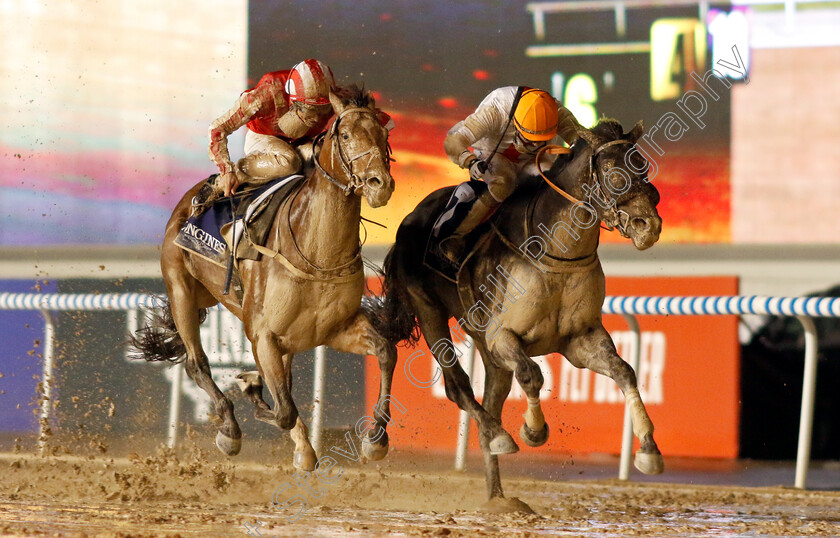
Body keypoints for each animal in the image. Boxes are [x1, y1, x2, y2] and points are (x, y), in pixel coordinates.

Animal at [134, 84, 400, 468]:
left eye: (384, 135)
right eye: (347, 135)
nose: (380, 184)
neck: (317, 254)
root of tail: (189, 198)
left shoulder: (335, 328)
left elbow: (385, 351)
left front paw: (376, 438)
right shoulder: (262, 333)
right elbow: (283, 408)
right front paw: (250, 390)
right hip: (181, 288)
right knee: (196, 364)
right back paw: (230, 428)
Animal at [370, 119, 668, 508]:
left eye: (643, 167)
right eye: (614, 173)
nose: (649, 225)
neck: (556, 252)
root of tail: (408, 219)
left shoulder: (580, 339)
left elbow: (625, 372)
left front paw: (649, 450)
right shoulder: (503, 336)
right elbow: (531, 373)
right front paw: (533, 429)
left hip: (487, 351)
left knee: (489, 400)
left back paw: (498, 495)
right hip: (429, 310)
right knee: (456, 386)